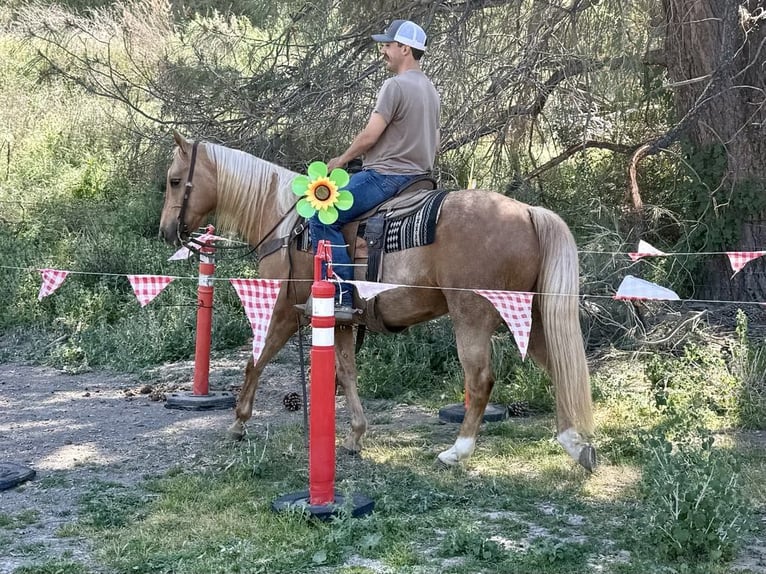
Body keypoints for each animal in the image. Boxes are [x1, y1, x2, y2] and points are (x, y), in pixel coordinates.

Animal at [159, 131, 597, 471]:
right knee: (559, 365)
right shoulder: (342, 320)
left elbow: (256, 361)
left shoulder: (284, 312)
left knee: (480, 379)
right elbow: (347, 372)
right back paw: (575, 444)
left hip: (472, 315)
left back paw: (458, 451)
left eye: (176, 181)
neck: (286, 225)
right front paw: (355, 436)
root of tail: (528, 212)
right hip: (530, 315)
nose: (166, 231)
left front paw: (239, 422)